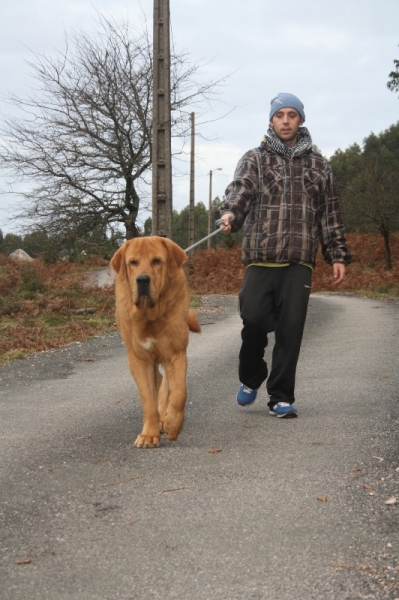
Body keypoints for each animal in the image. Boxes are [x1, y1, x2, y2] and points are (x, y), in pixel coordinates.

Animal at [111, 237, 202, 448]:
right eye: (133, 262)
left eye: (157, 261)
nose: (142, 280)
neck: (149, 315)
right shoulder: (139, 360)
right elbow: (148, 401)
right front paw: (149, 434)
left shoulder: (175, 354)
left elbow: (179, 393)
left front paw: (173, 425)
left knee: (166, 386)